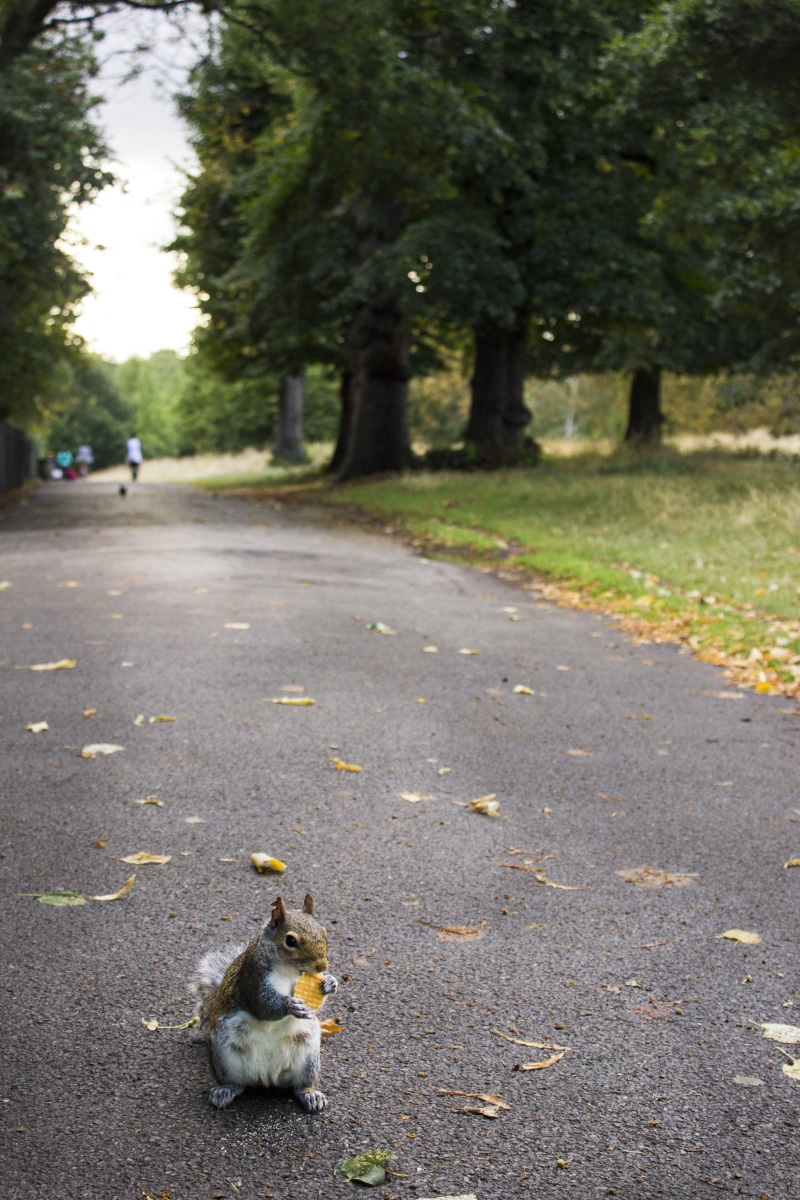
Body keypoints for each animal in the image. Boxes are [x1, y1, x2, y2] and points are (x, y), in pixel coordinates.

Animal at [192, 893, 339, 1112]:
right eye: (290, 940)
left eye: (324, 932)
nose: (322, 966)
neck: (289, 970)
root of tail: (268, 1078)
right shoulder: (253, 978)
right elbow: (263, 1006)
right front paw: (290, 1005)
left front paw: (330, 982)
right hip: (224, 1057)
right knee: (236, 1083)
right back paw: (224, 1091)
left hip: (309, 1057)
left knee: (300, 1085)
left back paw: (310, 1094)